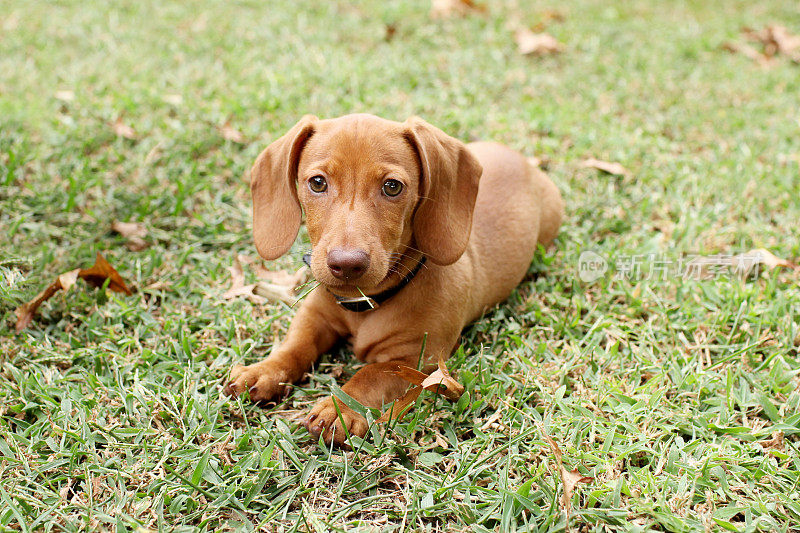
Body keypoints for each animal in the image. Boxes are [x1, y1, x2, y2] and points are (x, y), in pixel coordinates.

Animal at [223, 114, 564, 446]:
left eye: (392, 187)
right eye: (317, 183)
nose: (346, 264)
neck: (362, 303)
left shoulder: (416, 360)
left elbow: (371, 373)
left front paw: (341, 408)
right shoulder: (315, 317)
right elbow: (296, 345)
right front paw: (264, 371)